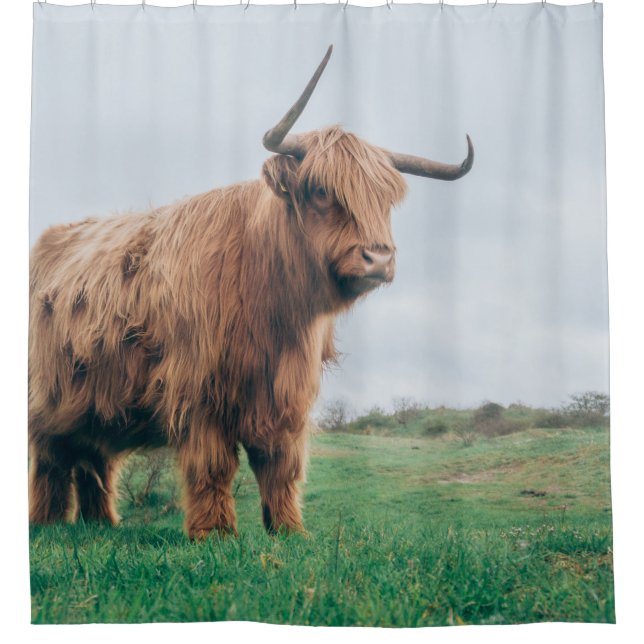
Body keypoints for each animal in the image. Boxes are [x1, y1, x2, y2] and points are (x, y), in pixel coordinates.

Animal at [28, 45, 473, 539]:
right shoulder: (199, 388)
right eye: (321, 190)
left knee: (94, 459)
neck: (272, 305)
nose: (378, 258)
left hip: (94, 401)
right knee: (51, 460)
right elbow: (213, 465)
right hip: (47, 399)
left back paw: (101, 524)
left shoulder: (286, 393)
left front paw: (290, 530)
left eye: (386, 200)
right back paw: (47, 524)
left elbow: (280, 464)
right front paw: (214, 533)